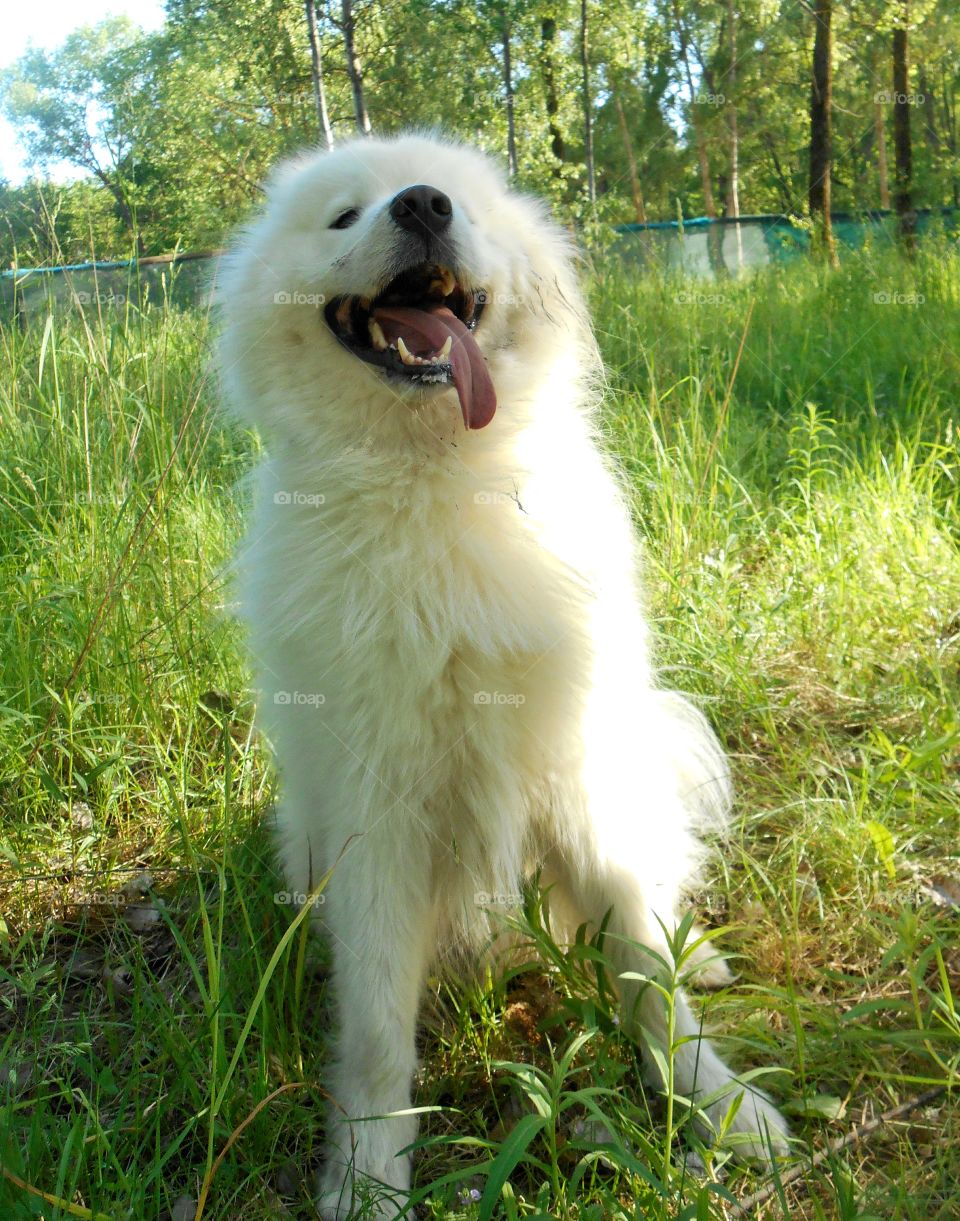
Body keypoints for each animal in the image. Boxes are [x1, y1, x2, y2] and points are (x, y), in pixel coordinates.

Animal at [221, 136, 791, 1221]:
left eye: (461, 204)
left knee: (664, 890)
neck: (437, 486)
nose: (423, 205)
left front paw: (722, 1108)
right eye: (343, 215)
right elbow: (375, 1034)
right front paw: (367, 1178)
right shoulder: (374, 824)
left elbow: (643, 966)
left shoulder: (575, 779)